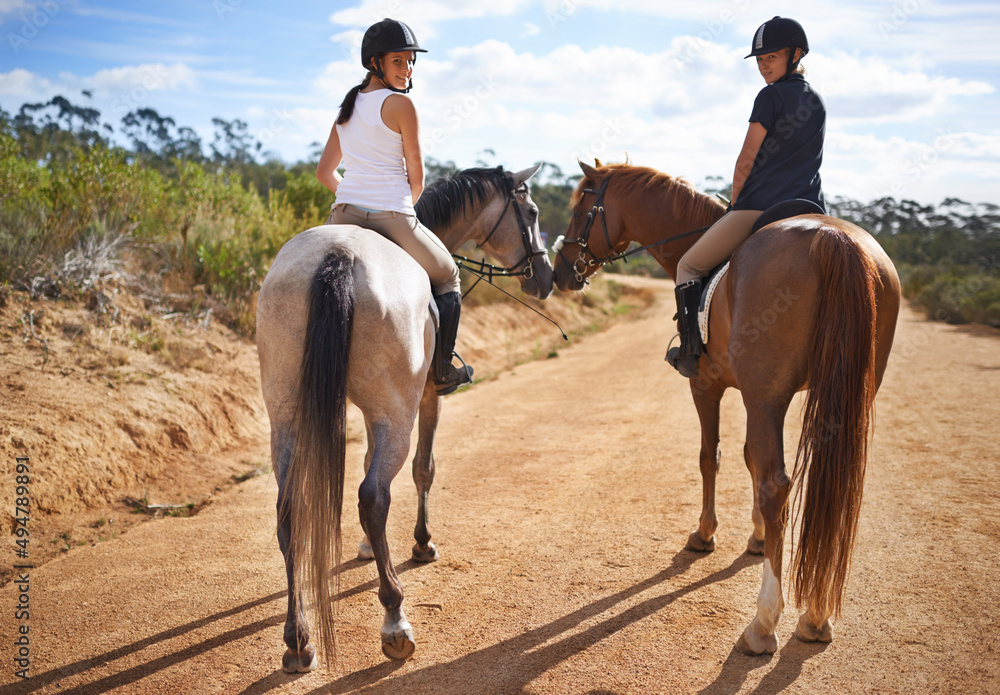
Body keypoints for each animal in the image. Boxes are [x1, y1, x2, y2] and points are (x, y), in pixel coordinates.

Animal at [254, 166, 552, 672]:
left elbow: (369, 463)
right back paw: (394, 619)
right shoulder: (426, 397)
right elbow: (423, 469)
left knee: (290, 508)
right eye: (530, 212)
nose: (546, 277)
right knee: (374, 496)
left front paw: (364, 548)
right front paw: (421, 543)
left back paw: (298, 640)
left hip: (287, 414)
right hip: (398, 412)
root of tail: (339, 256)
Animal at [552, 160, 904, 656]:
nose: (562, 271)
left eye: (582, 207)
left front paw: (705, 534)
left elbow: (711, 457)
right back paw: (815, 615)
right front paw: (756, 538)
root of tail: (833, 239)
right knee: (830, 480)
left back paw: (764, 622)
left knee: (778, 485)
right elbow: (749, 459)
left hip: (766, 396)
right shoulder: (757, 395)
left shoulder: (709, 386)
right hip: (841, 395)